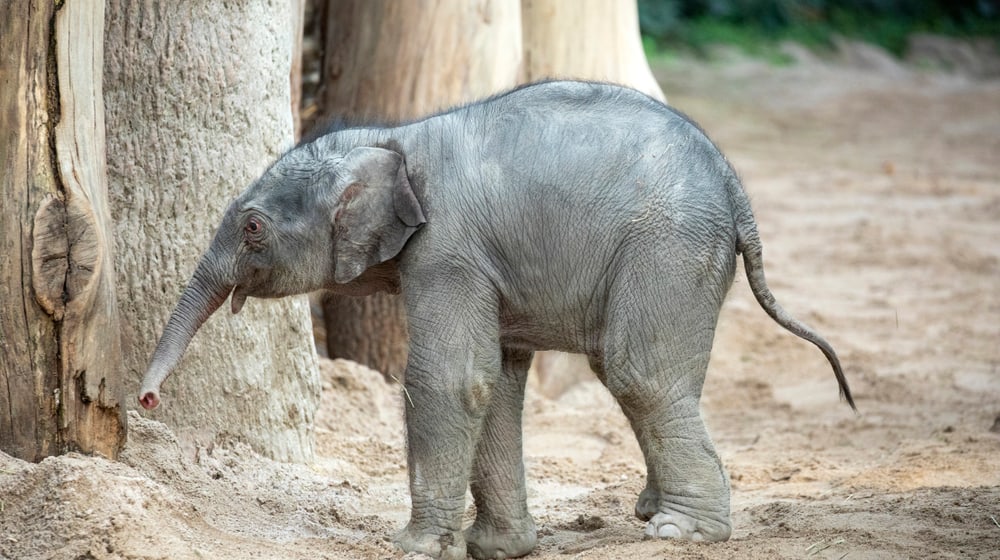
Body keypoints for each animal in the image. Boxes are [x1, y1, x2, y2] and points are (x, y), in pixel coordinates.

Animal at [138, 80, 855, 560]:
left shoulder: (447, 249)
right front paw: (498, 548)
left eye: (253, 228)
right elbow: (497, 382)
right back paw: (654, 512)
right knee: (646, 374)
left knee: (639, 374)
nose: (145, 400)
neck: (391, 138)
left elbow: (451, 379)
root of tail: (734, 185)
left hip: (668, 247)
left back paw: (683, 532)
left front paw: (414, 546)